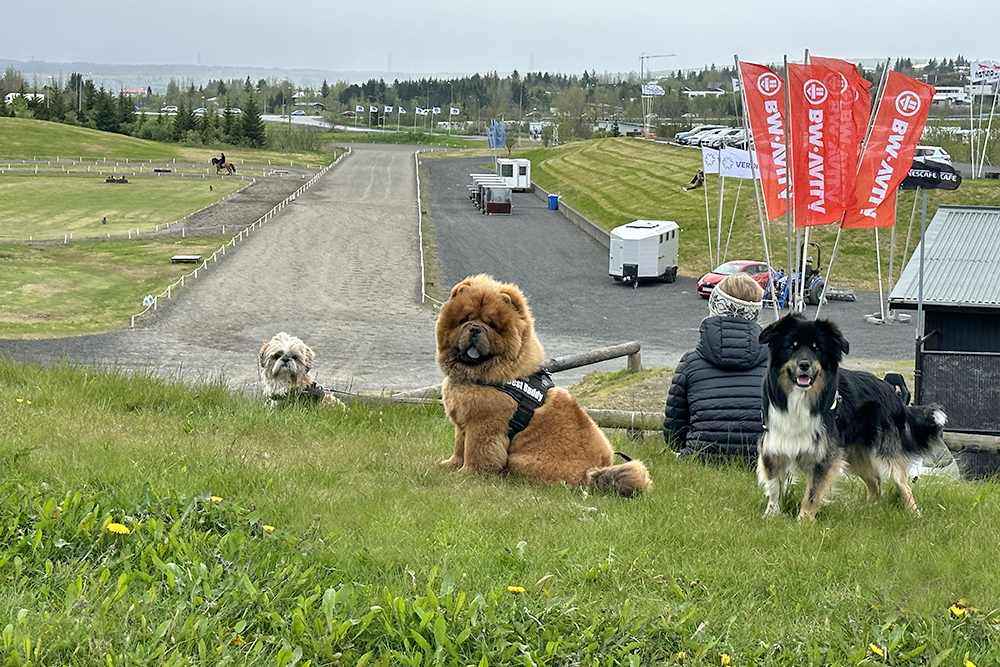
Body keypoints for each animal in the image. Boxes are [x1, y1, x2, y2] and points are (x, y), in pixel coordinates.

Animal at [756, 316, 944, 520]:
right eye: (791, 346)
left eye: (817, 348)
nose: (804, 365)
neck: (800, 397)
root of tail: (892, 393)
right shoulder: (774, 445)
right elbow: (774, 487)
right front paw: (771, 515)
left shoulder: (825, 453)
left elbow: (812, 493)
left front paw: (803, 520)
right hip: (856, 453)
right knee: (875, 481)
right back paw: (868, 509)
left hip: (884, 453)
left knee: (903, 485)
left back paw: (915, 514)